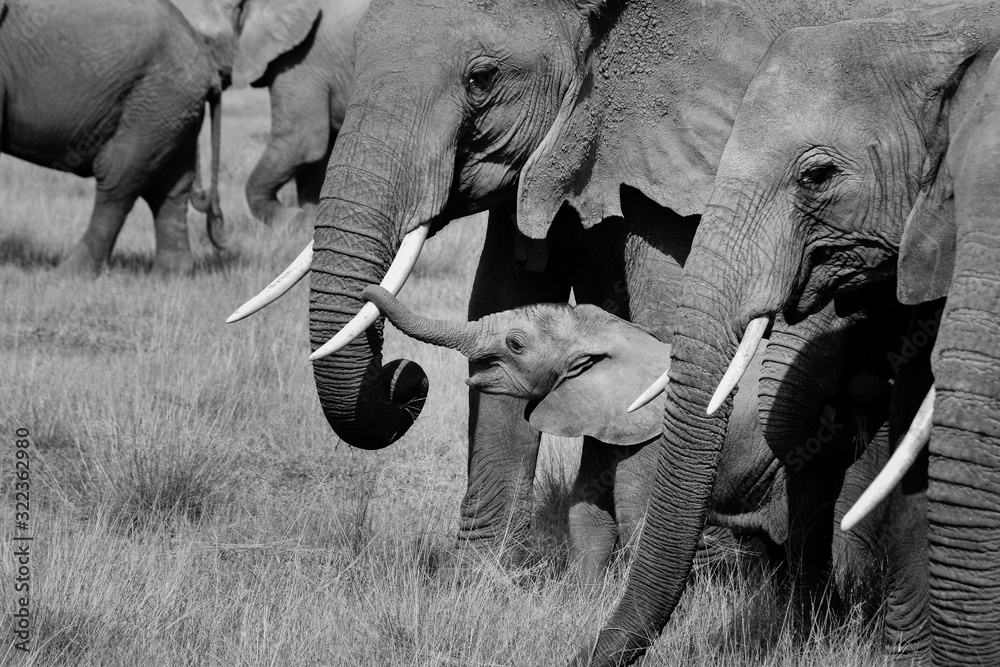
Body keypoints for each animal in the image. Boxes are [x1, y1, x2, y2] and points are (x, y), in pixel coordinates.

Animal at [0, 0, 225, 275]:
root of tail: (211, 69)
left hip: (156, 103)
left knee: (117, 177)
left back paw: (69, 274)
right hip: (175, 111)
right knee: (170, 187)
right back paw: (169, 277)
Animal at [172, 0, 366, 227]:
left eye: (205, 40)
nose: (205, 198)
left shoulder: (303, 59)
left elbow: (301, 143)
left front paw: (293, 219)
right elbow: (315, 157)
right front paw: (306, 220)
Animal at [232, 0, 921, 576]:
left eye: (481, 79)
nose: (405, 379)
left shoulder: (686, 162)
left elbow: (669, 329)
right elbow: (497, 302)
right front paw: (482, 580)